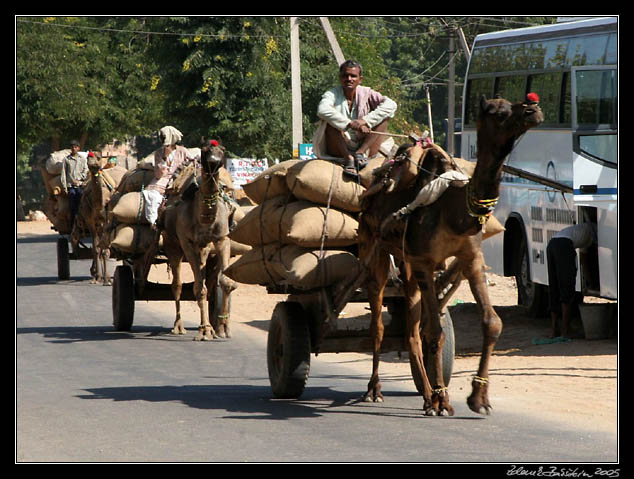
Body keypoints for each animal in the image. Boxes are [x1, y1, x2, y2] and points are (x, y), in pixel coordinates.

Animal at [71, 156, 126, 284]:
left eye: (98, 157)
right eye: (88, 157)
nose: (91, 164)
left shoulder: (106, 221)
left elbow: (104, 250)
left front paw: (107, 279)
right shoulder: (90, 221)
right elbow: (96, 249)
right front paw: (97, 277)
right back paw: (95, 273)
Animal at [158, 139, 237, 342]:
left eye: (222, 150)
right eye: (205, 150)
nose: (214, 162)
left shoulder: (222, 239)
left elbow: (226, 282)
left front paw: (223, 328)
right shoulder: (187, 242)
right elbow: (198, 289)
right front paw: (205, 331)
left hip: (205, 249)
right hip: (172, 243)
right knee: (177, 285)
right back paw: (178, 327)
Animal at [358, 94, 540, 416]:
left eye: (515, 103)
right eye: (497, 112)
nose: (533, 109)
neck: (454, 211)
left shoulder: (471, 258)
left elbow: (491, 323)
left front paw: (477, 398)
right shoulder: (424, 261)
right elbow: (435, 331)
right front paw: (443, 401)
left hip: (405, 262)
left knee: (411, 327)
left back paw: (425, 393)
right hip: (376, 249)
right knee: (377, 324)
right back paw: (375, 390)